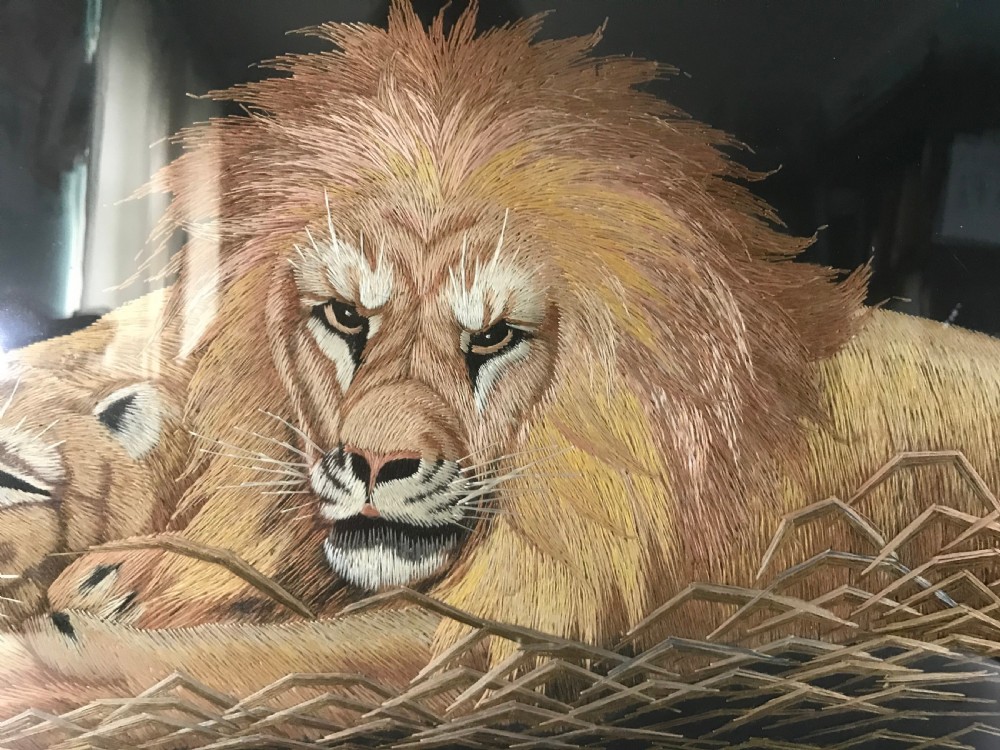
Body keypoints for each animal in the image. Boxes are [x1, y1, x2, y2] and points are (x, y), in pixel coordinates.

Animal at [1, 2, 1000, 737]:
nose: (372, 467)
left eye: (492, 339)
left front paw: (60, 645)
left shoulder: (511, 639)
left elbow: (254, 660)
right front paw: (124, 580)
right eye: (347, 319)